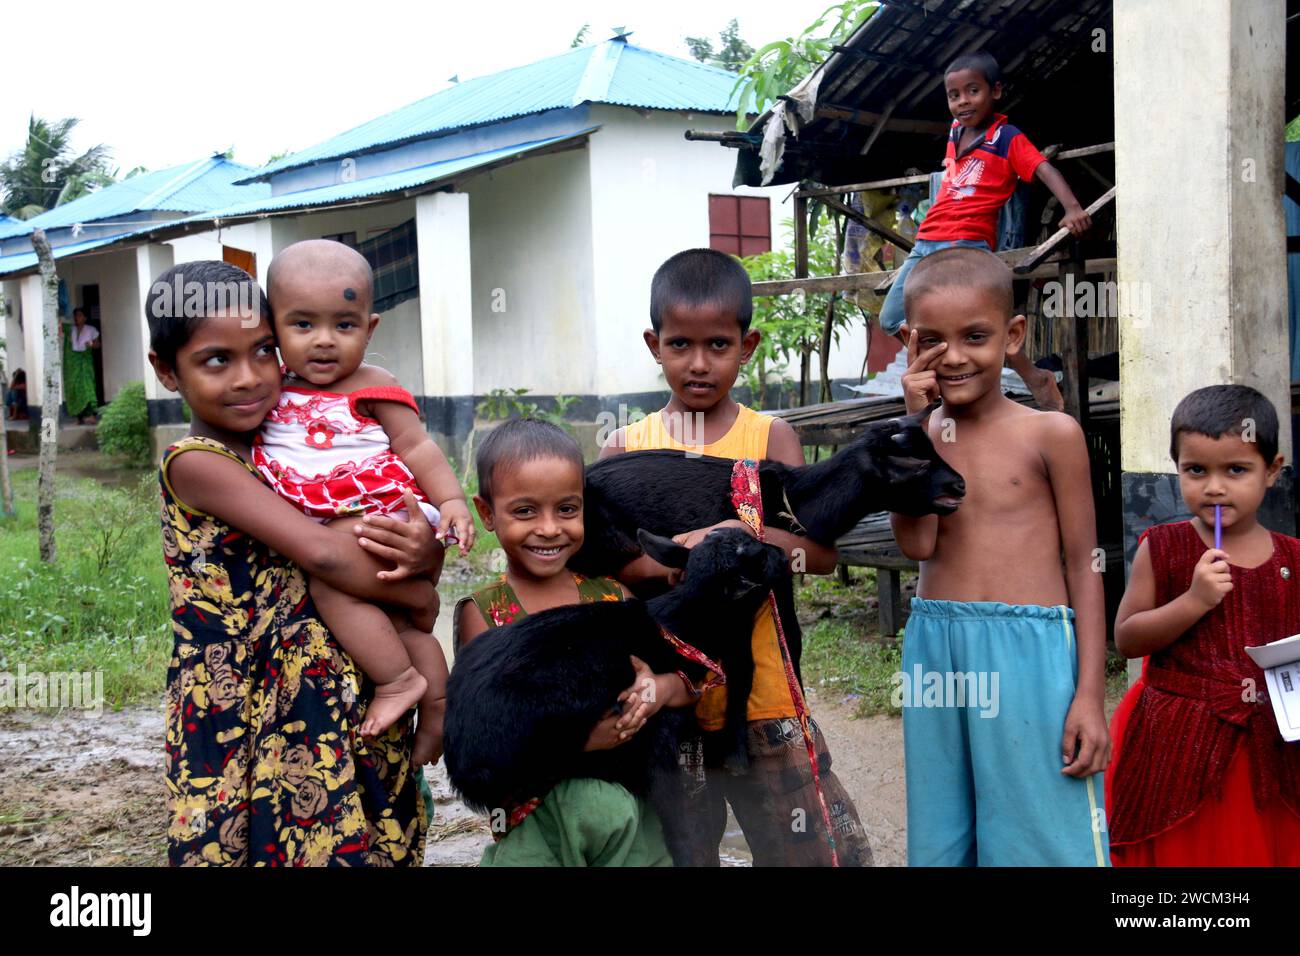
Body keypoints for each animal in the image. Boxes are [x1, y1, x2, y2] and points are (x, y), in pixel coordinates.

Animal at [441, 528, 785, 858]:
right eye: (757, 556)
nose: (782, 552)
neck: (679, 628)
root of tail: (461, 758)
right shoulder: (658, 736)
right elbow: (673, 811)